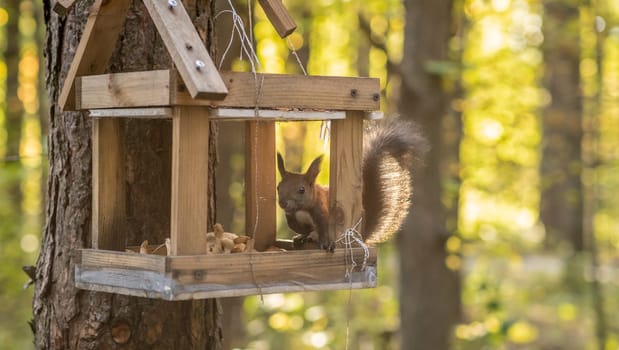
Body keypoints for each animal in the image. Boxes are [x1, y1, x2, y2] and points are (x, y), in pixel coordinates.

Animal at [276, 119, 426, 250]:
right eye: (278, 187)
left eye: (302, 190)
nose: (283, 203)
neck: (300, 210)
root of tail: (363, 236)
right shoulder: (294, 219)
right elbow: (302, 230)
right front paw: (300, 237)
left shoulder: (322, 212)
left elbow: (323, 230)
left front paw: (324, 243)